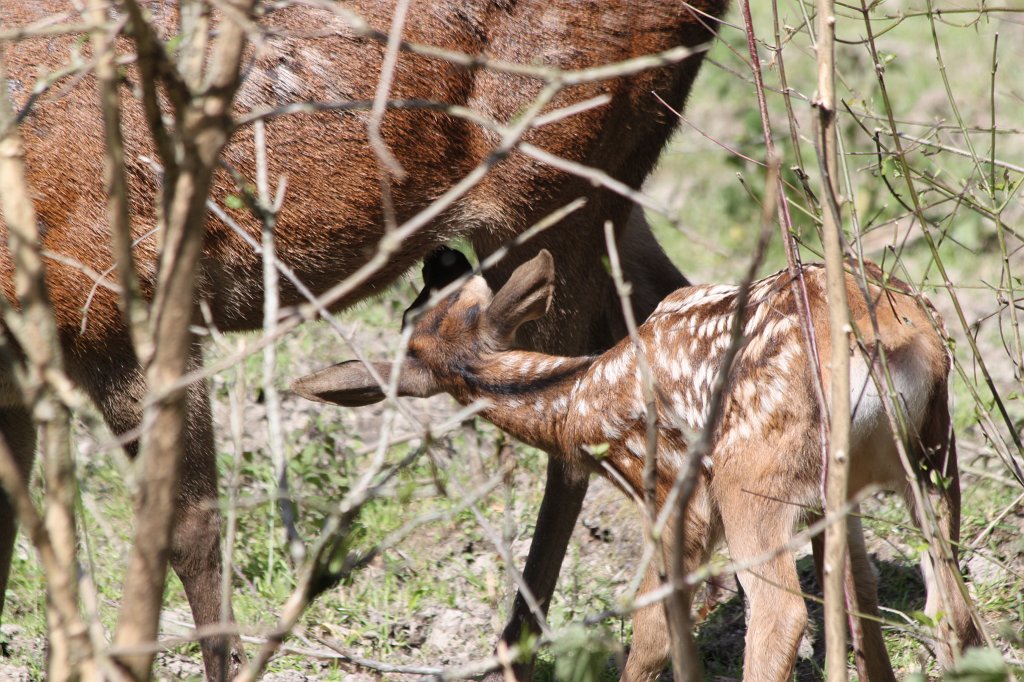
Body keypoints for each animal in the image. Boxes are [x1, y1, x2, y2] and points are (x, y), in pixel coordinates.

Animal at [0, 0, 728, 679]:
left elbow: (187, 530)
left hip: (561, 180)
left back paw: (523, 647)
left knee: (578, 414)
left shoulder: (116, 305)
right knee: (671, 307)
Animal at [293, 247, 984, 682]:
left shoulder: (671, 496)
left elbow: (655, 631)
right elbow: (858, 591)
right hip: (931, 453)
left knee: (781, 614)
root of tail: (881, 332)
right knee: (951, 610)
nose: (441, 255)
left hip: (751, 477)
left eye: (420, 312)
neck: (575, 402)